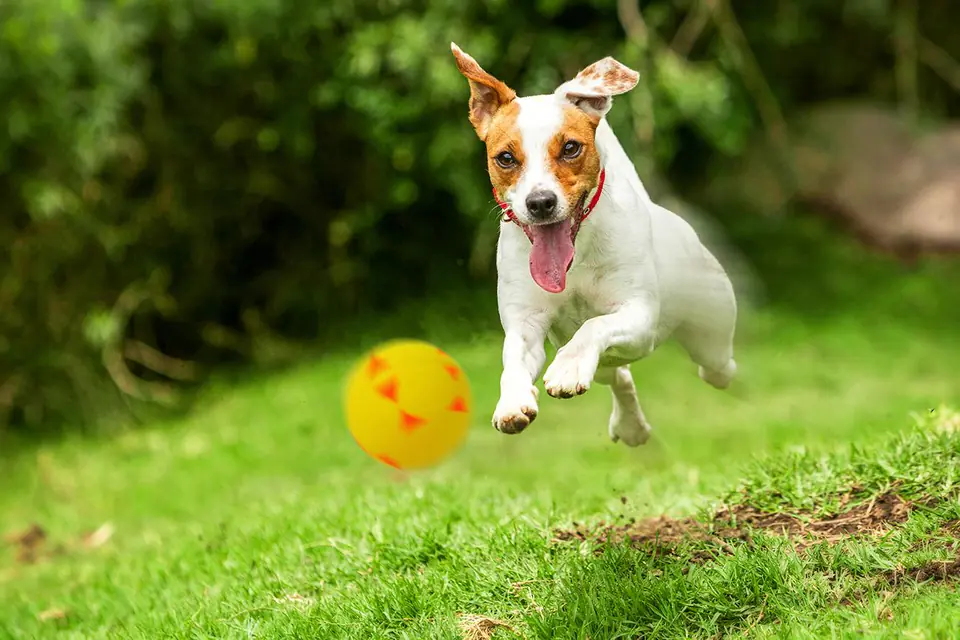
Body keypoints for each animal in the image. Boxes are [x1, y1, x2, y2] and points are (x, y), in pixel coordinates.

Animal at [450, 43, 736, 444]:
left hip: (712, 330)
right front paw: (513, 402)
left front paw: (568, 368)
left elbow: (594, 326)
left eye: (571, 148)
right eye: (505, 157)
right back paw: (630, 426)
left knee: (717, 367)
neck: (576, 258)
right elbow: (514, 360)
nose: (540, 202)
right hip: (612, 362)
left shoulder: (639, 316)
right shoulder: (526, 323)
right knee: (618, 375)